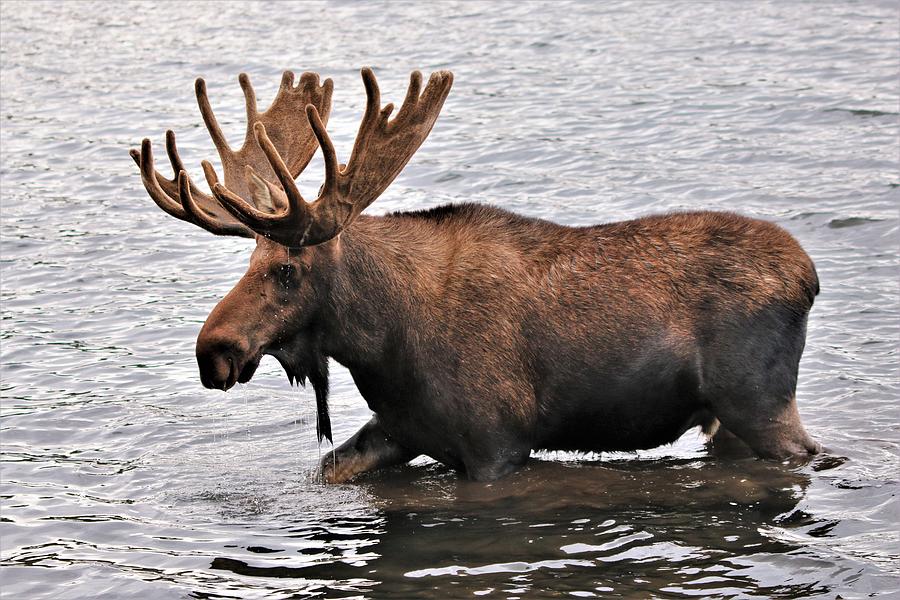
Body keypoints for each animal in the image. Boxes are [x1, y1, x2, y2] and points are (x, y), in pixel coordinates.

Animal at [130, 69, 820, 482]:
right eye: (248, 262)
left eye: (287, 269)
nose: (213, 351)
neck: (382, 343)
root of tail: (809, 277)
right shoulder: (403, 429)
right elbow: (329, 468)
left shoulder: (498, 444)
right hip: (731, 416)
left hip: (760, 402)